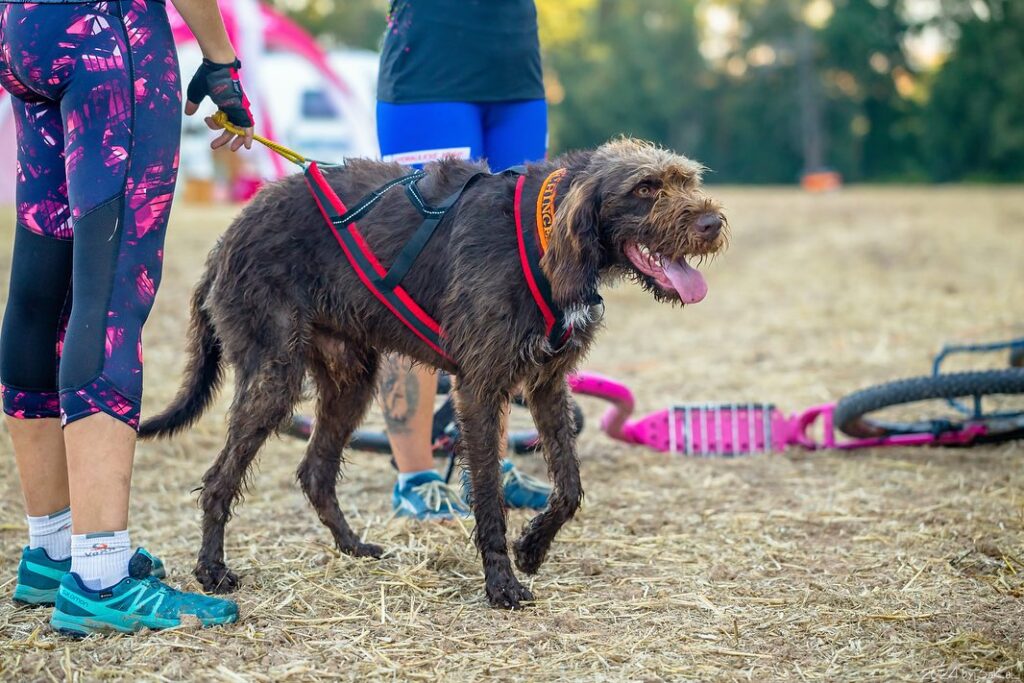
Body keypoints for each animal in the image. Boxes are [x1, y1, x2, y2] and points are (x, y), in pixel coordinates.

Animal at [142, 137, 729, 610]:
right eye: (646, 187)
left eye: (687, 180)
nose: (712, 223)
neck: (543, 234)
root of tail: (226, 240)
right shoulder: (480, 388)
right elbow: (489, 494)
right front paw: (501, 584)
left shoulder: (546, 385)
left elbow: (569, 486)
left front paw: (532, 547)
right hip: (274, 376)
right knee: (220, 480)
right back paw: (212, 571)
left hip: (351, 382)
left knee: (315, 471)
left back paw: (353, 547)